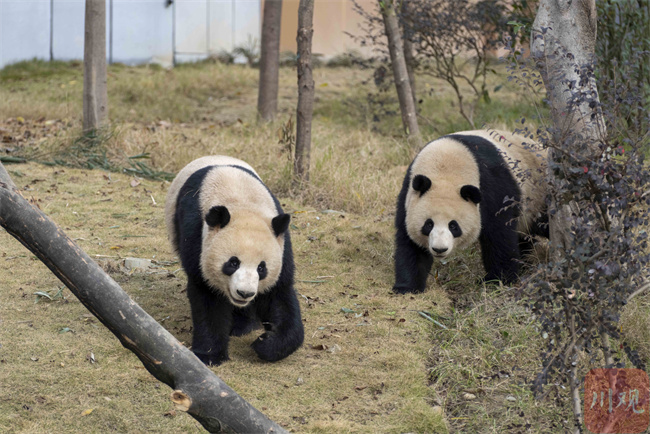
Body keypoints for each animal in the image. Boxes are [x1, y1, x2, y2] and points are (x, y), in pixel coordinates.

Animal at [163, 156, 302, 366]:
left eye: (262, 268)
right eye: (233, 263)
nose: (245, 293)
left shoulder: (281, 245)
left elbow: (279, 294)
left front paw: (266, 343)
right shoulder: (196, 236)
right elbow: (207, 296)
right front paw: (209, 355)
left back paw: (243, 325)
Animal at [390, 128, 548, 292]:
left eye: (453, 226)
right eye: (428, 224)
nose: (439, 249)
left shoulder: (493, 187)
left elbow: (499, 234)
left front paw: (496, 280)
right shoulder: (408, 194)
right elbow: (410, 243)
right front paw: (407, 287)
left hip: (538, 195)